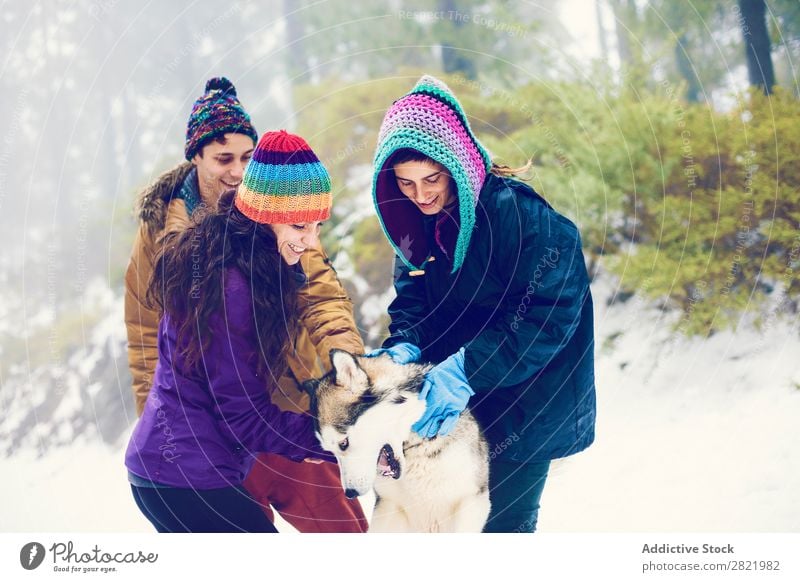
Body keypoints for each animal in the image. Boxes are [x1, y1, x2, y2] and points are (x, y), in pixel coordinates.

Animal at [304, 352, 490, 532]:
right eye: (330, 451)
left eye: (343, 443)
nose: (350, 493)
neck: (414, 450)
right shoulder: (388, 506)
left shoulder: (472, 500)